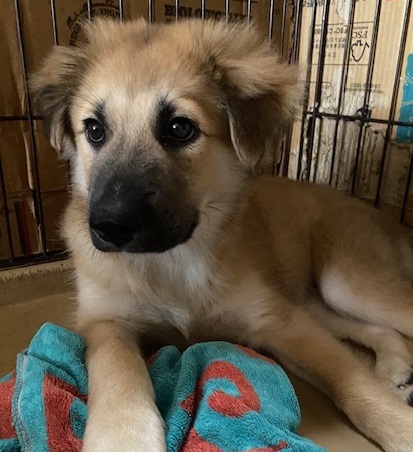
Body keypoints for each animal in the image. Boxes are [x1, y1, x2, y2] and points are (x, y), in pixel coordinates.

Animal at [31, 18, 413, 451]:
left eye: (180, 128)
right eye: (94, 130)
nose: (109, 227)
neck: (173, 261)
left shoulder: (280, 320)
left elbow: (354, 383)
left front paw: (399, 426)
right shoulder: (107, 322)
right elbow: (119, 377)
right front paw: (123, 437)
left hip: (345, 281)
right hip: (317, 300)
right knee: (380, 330)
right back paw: (395, 370)